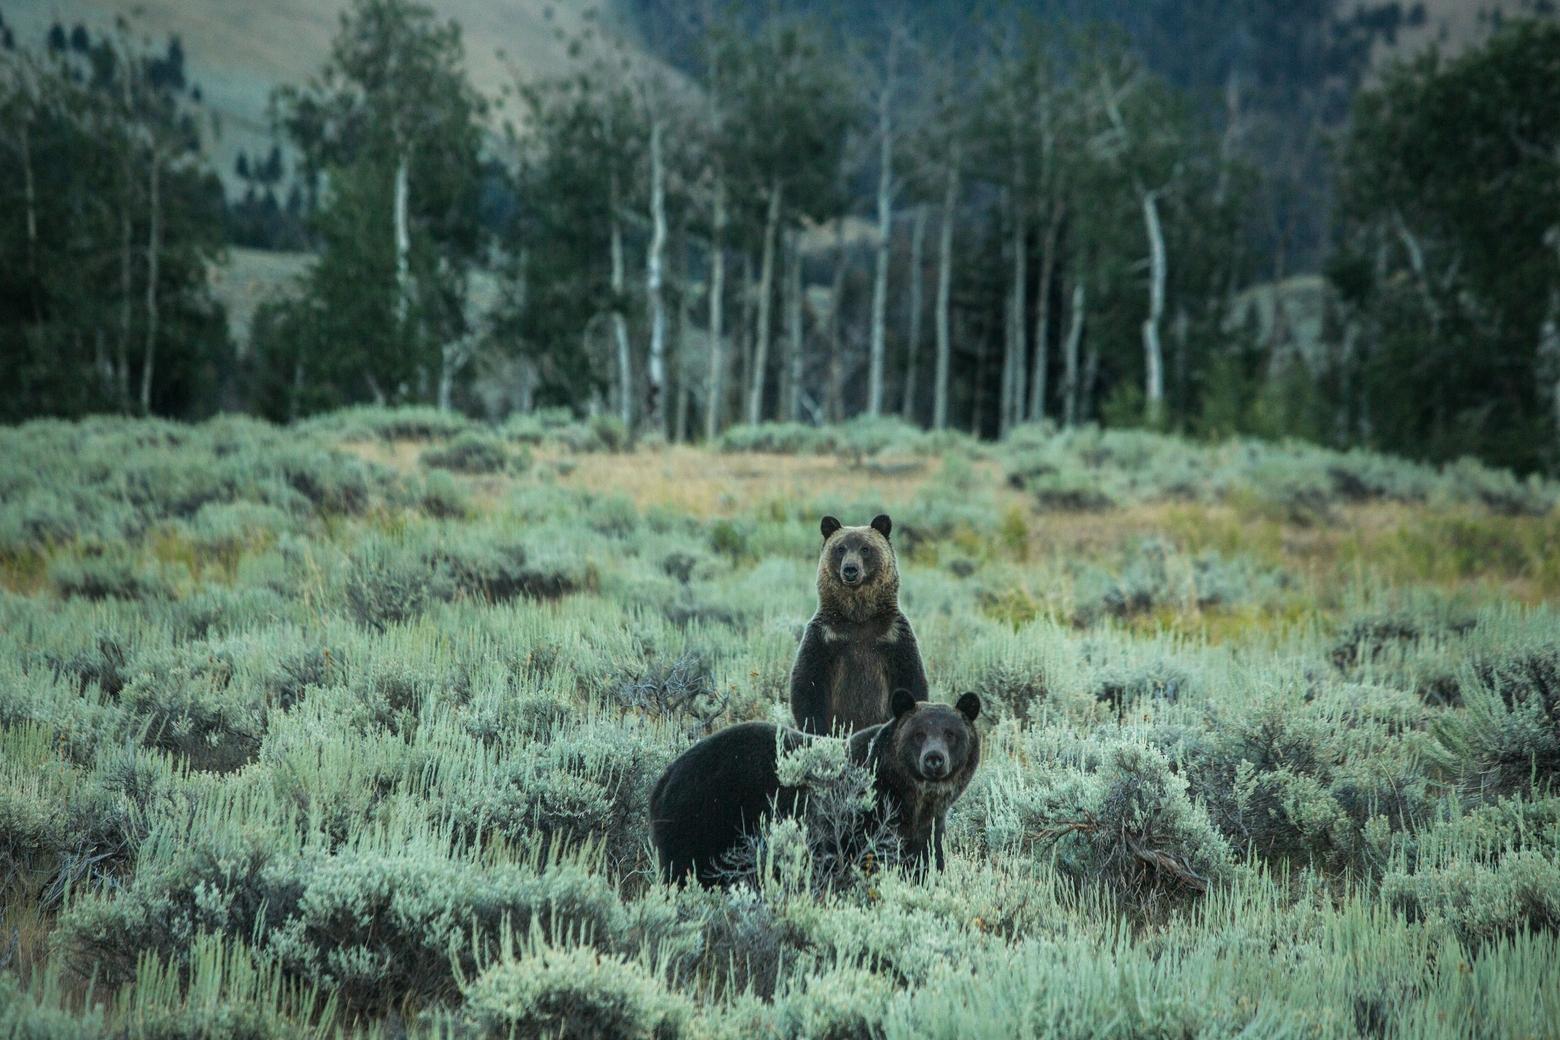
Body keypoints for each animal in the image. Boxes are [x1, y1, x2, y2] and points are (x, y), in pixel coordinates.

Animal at [645, 692, 973, 885]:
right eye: (918, 734)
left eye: (951, 733)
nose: (934, 759)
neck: (909, 799)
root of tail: (664, 778)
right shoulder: (860, 817)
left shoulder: (925, 828)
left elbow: (925, 864)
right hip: (702, 816)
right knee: (685, 869)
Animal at [792, 511, 923, 732]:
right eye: (840, 548)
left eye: (865, 548)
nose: (850, 569)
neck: (858, 617)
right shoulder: (825, 635)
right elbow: (807, 683)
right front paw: (818, 729)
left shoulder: (893, 635)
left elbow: (911, 678)